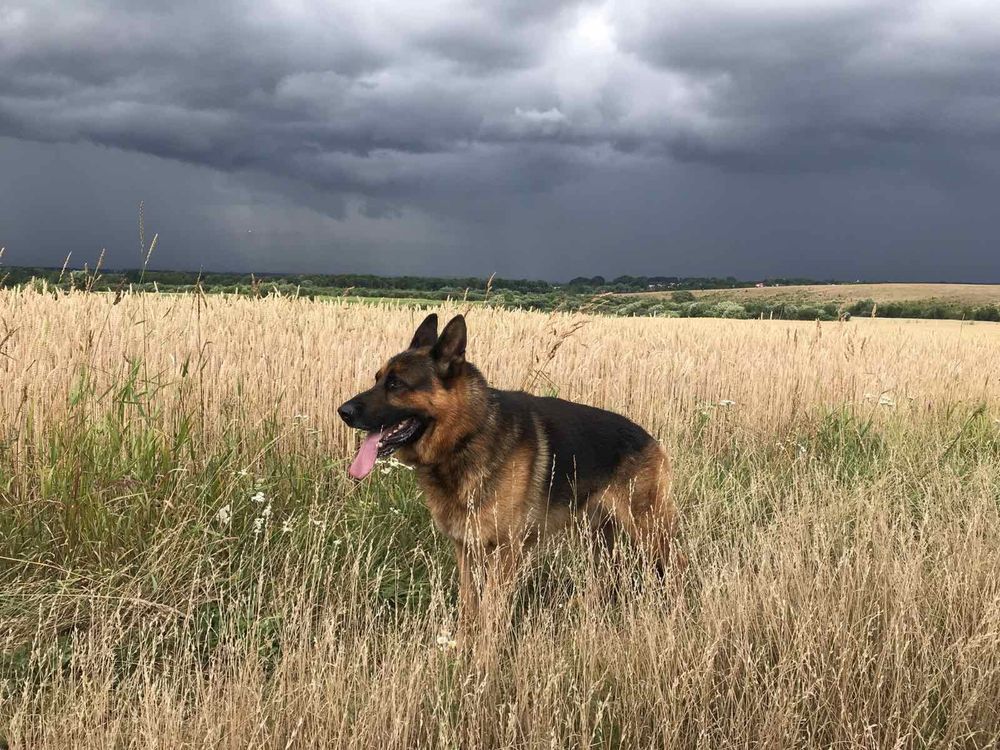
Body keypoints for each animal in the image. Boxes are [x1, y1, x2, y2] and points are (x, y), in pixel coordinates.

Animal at [342, 314, 680, 632]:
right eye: (377, 379)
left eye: (396, 384)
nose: (342, 412)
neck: (469, 432)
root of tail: (650, 438)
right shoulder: (466, 550)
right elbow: (469, 609)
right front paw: (463, 648)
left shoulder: (504, 553)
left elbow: (490, 615)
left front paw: (486, 653)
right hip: (598, 536)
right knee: (608, 576)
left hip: (651, 534)